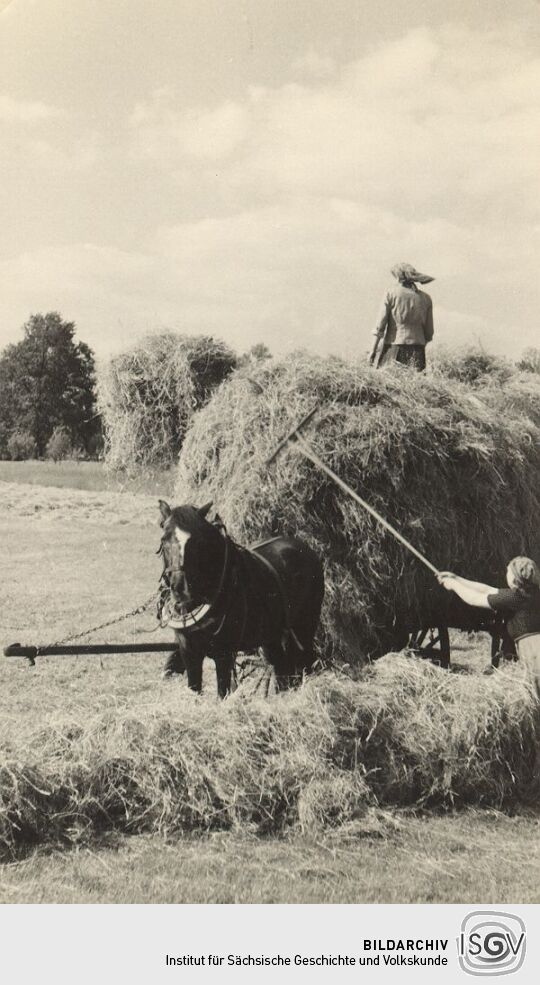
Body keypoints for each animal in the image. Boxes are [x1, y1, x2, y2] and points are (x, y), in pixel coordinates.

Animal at [157, 500, 324, 700]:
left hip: (305, 628)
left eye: (198, 542)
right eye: (164, 539)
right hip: (272, 636)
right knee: (282, 669)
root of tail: (305, 548)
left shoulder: (224, 654)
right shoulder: (189, 652)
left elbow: (222, 693)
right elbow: (194, 689)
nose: (180, 586)